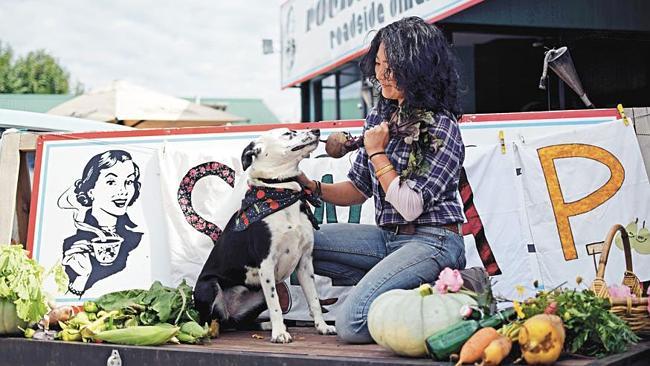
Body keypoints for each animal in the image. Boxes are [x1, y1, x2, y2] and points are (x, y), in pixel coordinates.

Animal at [191, 127, 334, 342]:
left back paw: (263, 325)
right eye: (288, 134)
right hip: (209, 287)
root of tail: (229, 311)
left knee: (237, 323)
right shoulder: (266, 264)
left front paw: (322, 327)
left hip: (260, 294)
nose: (317, 130)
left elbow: (314, 300)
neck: (281, 190)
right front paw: (280, 333)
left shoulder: (305, 263)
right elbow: (275, 307)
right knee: (212, 321)